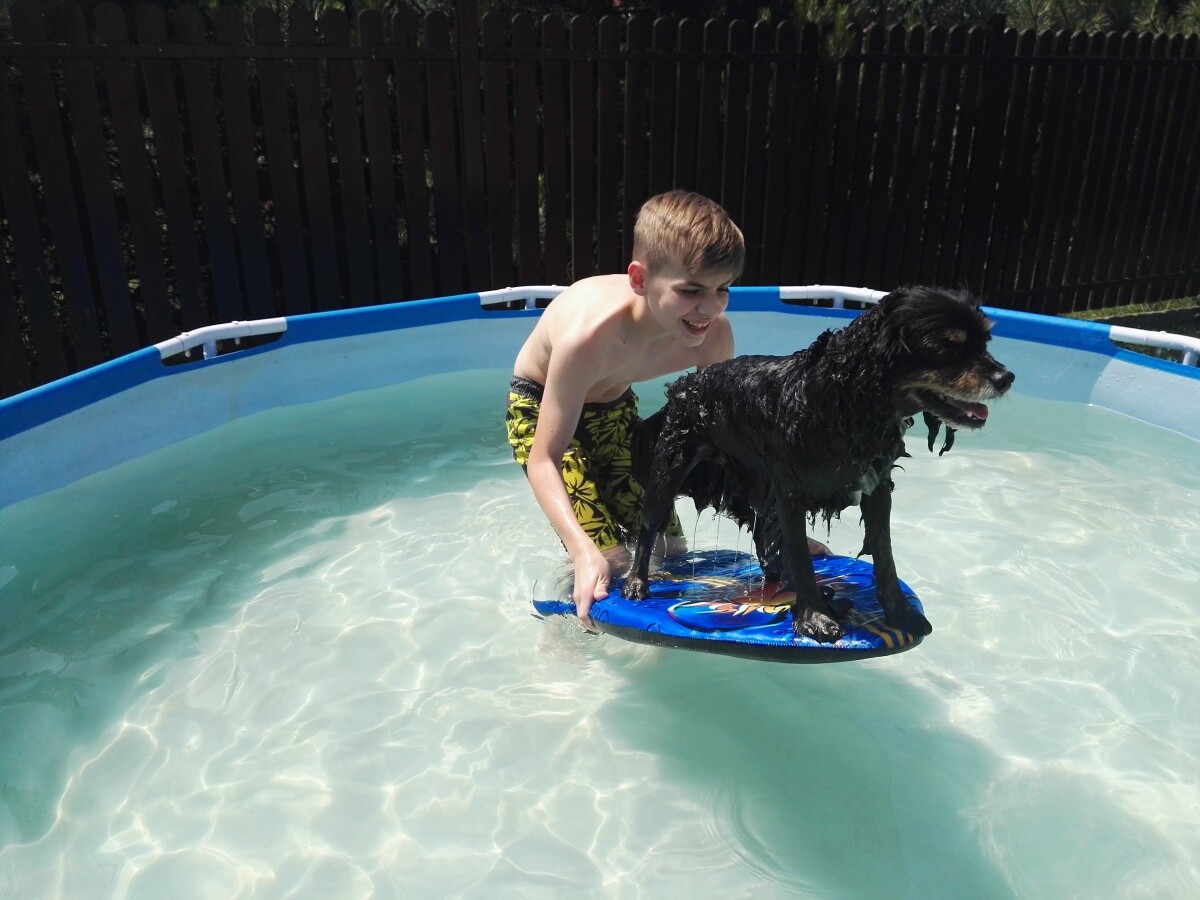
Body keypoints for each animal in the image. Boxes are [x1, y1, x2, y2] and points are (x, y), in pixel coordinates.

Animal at [626, 286, 1014, 643]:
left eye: (984, 342)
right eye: (947, 347)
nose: (1007, 378)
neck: (842, 401)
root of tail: (685, 384)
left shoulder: (877, 488)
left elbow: (884, 554)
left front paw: (899, 612)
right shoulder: (791, 494)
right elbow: (801, 558)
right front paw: (813, 617)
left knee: (767, 546)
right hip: (670, 466)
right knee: (649, 525)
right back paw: (636, 581)